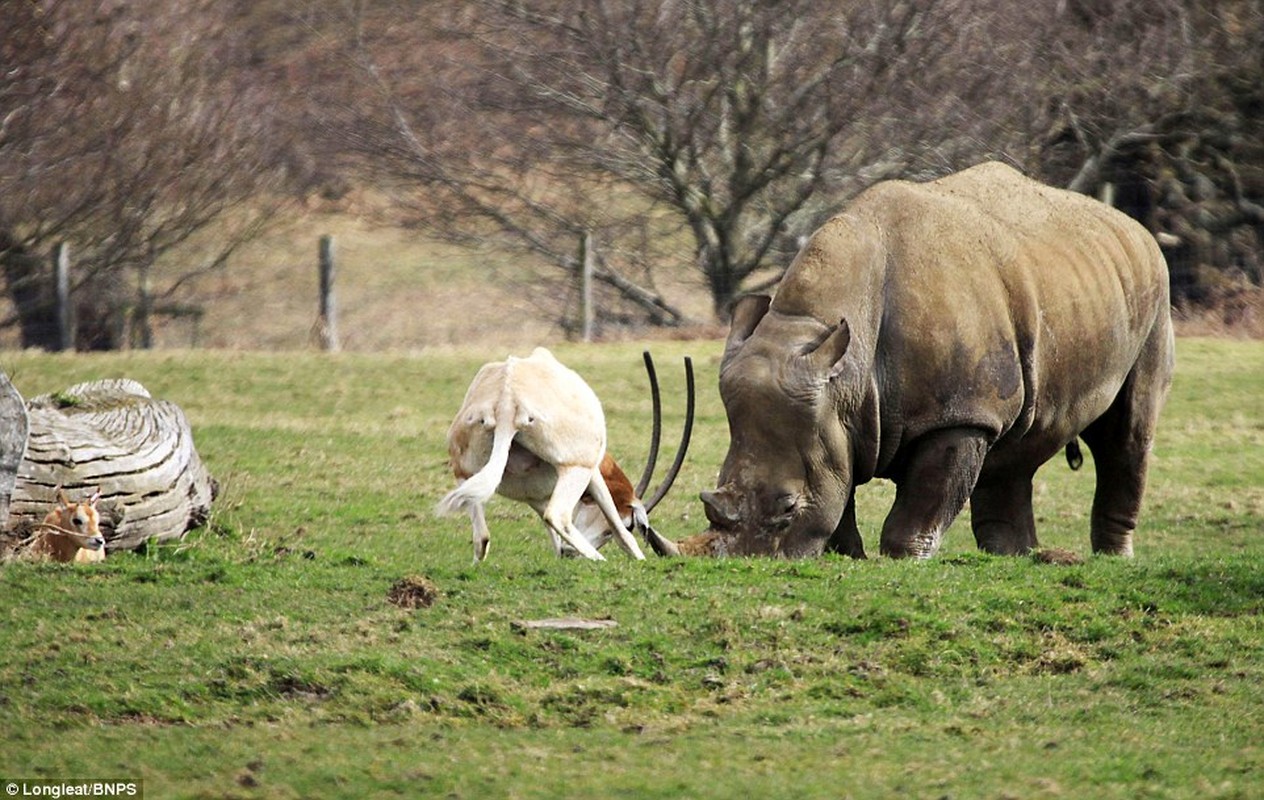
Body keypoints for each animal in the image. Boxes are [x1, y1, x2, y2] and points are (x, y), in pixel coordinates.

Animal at [437, 348, 692, 561]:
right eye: (629, 523)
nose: (570, 553)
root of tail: (507, 403)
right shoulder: (594, 472)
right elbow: (622, 533)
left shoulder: (535, 496)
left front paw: (560, 553)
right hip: (576, 468)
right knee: (557, 515)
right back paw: (598, 560)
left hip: (463, 473)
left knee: (481, 537)